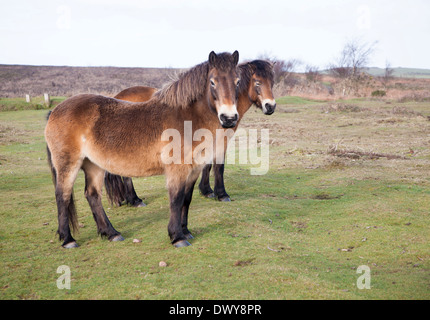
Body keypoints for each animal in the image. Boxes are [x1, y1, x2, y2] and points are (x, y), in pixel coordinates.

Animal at [47, 51, 242, 249]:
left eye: (237, 81)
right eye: (212, 82)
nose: (229, 118)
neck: (187, 118)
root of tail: (55, 111)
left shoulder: (193, 170)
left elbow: (186, 199)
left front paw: (186, 231)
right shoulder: (177, 170)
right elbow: (176, 199)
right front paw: (177, 236)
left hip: (93, 165)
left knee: (93, 195)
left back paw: (111, 233)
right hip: (68, 165)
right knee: (62, 196)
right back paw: (68, 239)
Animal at [104, 58, 276, 206]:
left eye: (272, 82)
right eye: (257, 82)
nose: (270, 106)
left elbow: (207, 165)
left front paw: (206, 190)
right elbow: (218, 166)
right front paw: (221, 194)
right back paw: (135, 200)